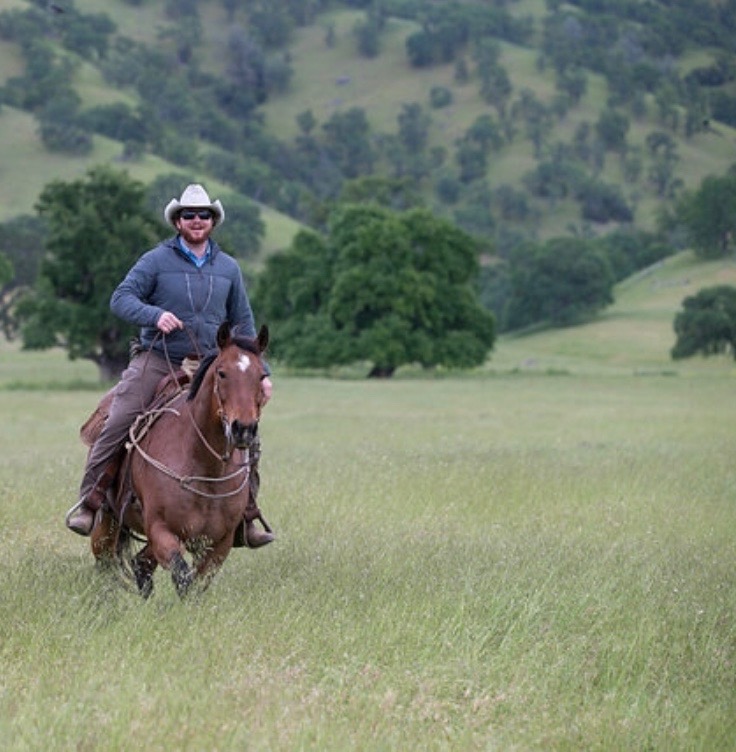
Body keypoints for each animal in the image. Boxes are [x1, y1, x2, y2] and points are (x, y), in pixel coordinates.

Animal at [91, 324, 268, 600]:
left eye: (261, 376)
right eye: (222, 373)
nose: (244, 429)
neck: (206, 469)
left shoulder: (220, 544)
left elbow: (196, 584)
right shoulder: (161, 530)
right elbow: (182, 576)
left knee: (141, 563)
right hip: (106, 524)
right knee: (106, 564)